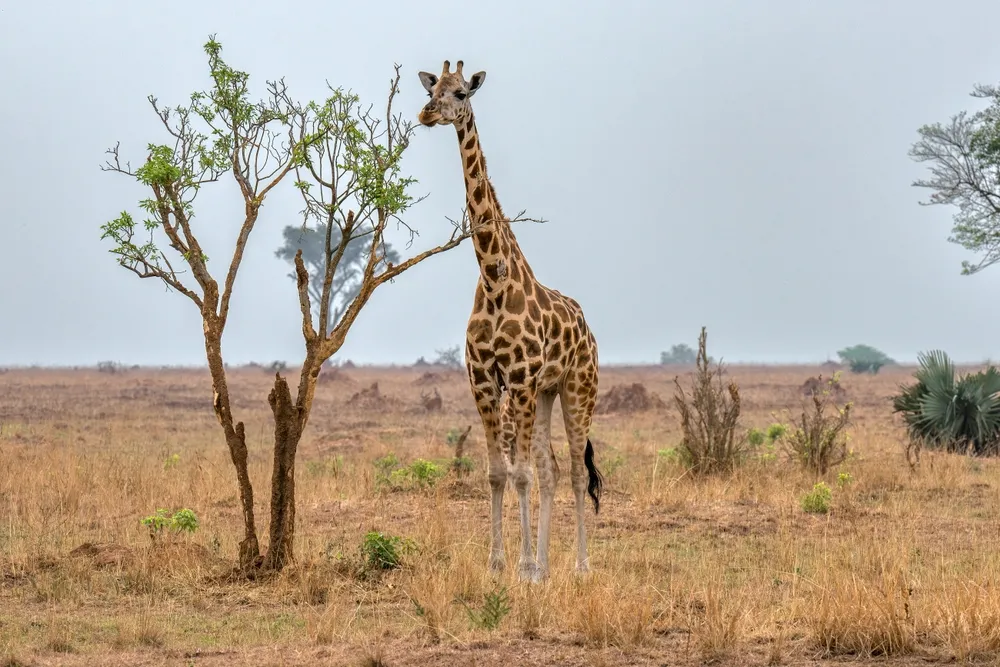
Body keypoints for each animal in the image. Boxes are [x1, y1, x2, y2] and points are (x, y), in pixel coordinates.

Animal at [417, 60, 603, 582]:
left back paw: (580, 566)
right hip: (544, 393)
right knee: (550, 469)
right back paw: (547, 564)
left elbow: (519, 473)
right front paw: (500, 563)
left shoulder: (517, 378)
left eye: (460, 92)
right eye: (432, 90)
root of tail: (589, 330)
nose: (426, 114)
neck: (494, 279)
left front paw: (522, 565)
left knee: (575, 471)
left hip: (577, 389)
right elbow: (499, 472)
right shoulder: (484, 379)